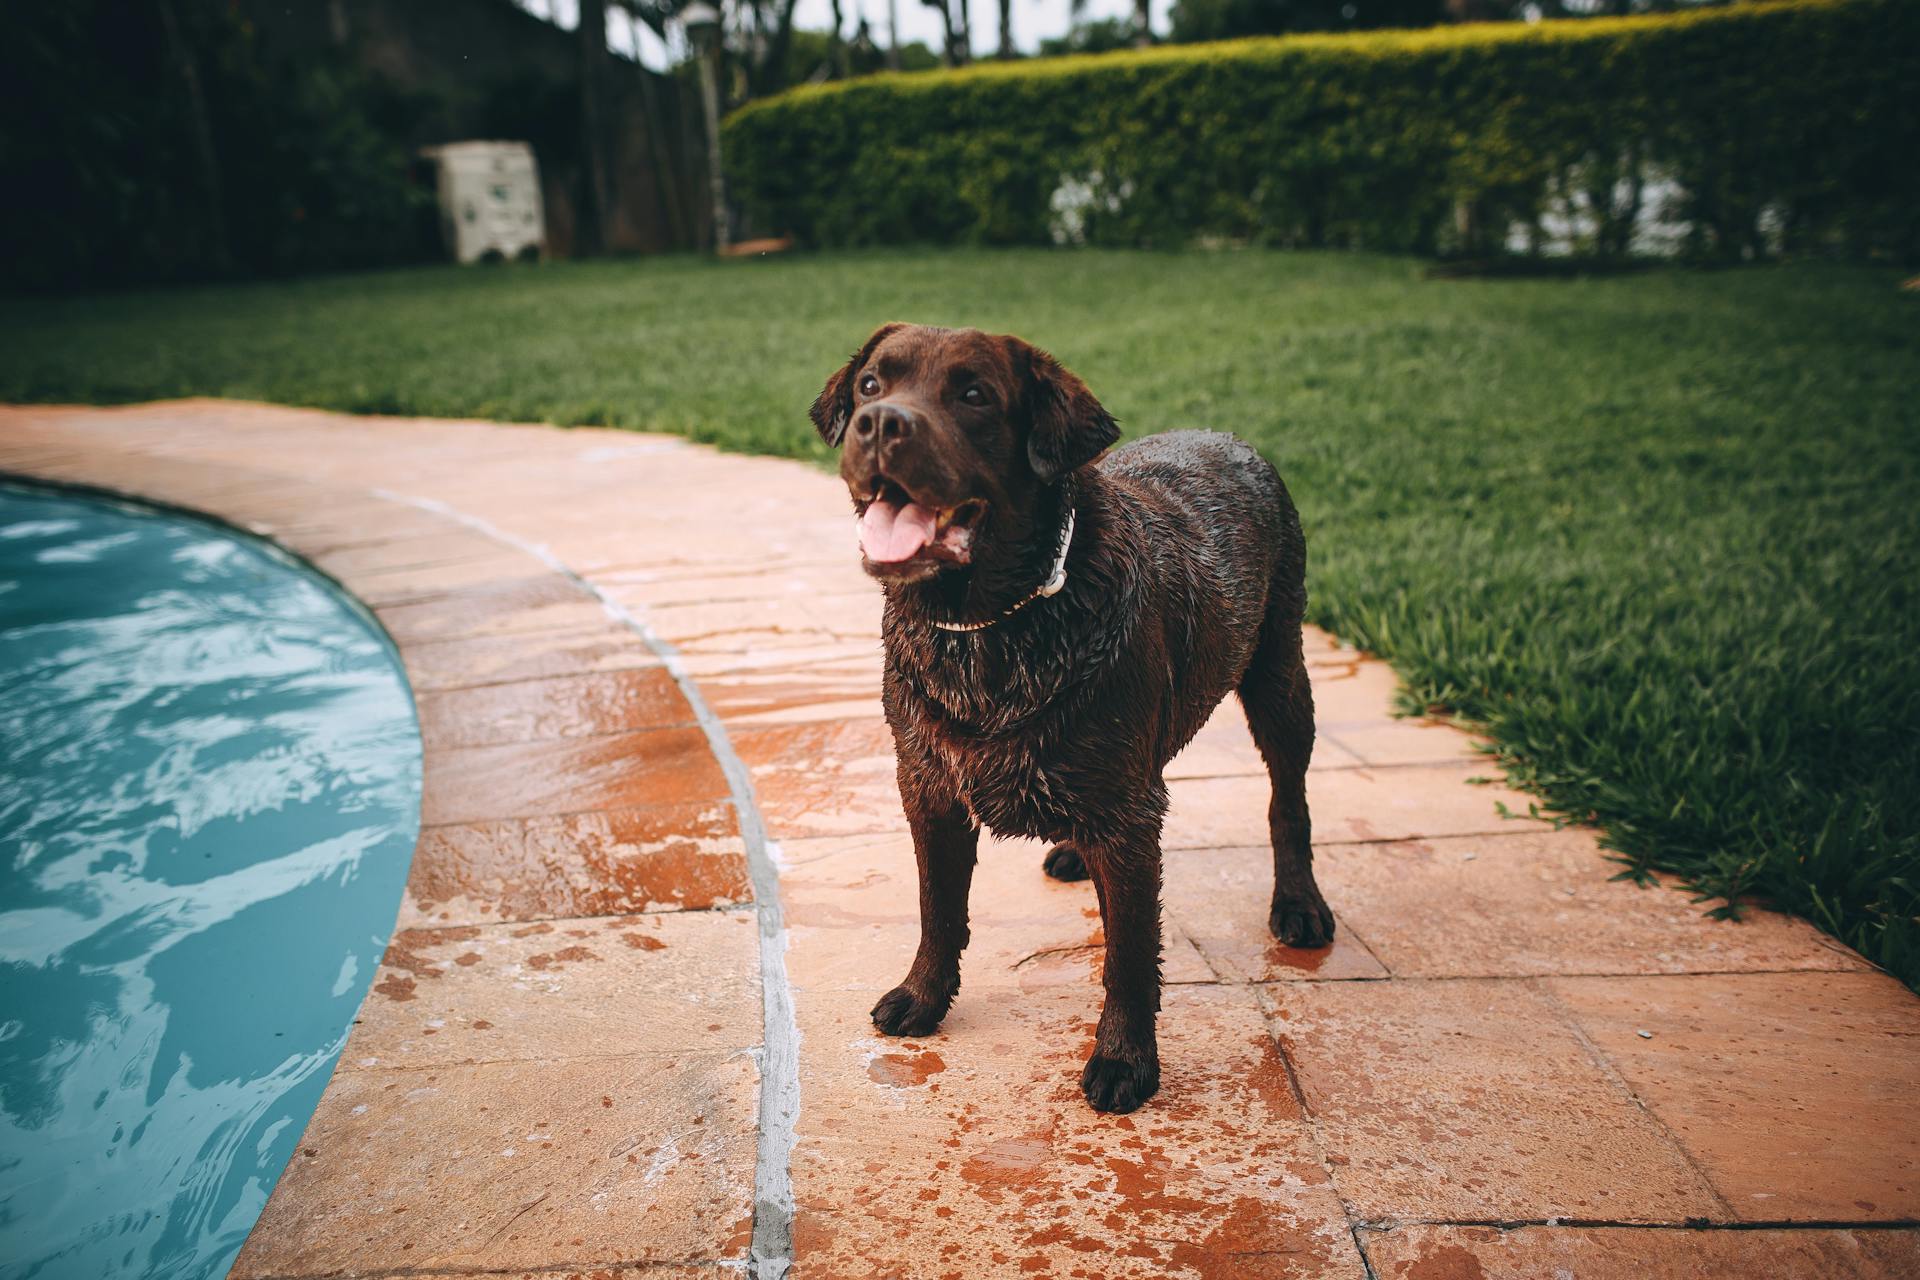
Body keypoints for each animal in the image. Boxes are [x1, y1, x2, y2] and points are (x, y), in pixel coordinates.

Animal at [814, 322, 1336, 1113]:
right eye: (872, 385)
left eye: (974, 395)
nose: (879, 423)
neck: (989, 630)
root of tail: (1227, 435)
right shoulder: (927, 785)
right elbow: (939, 908)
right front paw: (924, 996)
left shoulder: (1128, 815)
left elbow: (1130, 955)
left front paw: (1125, 1060)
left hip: (1279, 673)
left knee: (1289, 798)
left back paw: (1300, 902)